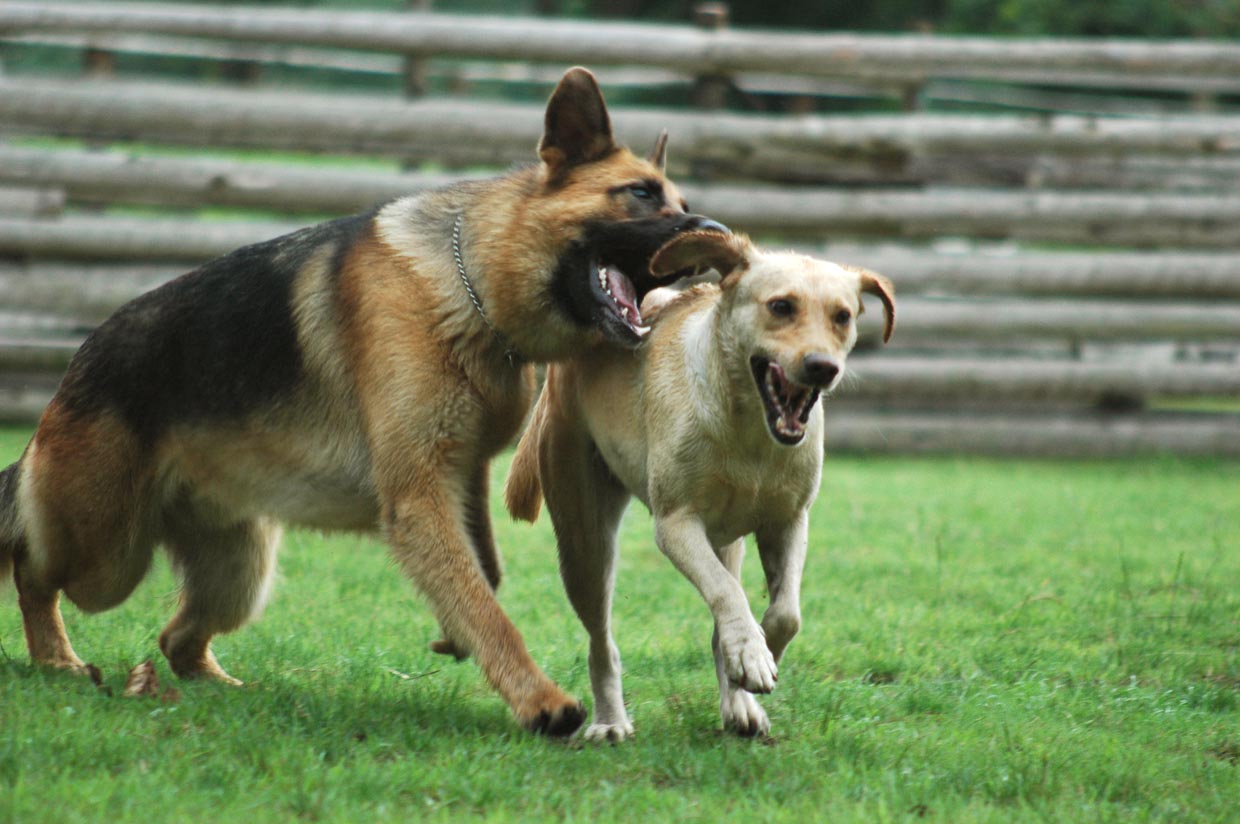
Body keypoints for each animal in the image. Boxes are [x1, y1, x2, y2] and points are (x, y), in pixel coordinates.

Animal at [0, 69, 724, 733]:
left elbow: (480, 576)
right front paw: (540, 702)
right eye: (640, 195)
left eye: (681, 200)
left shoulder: (459, 474)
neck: (470, 289)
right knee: (31, 566)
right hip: (106, 554)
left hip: (237, 570)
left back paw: (226, 687)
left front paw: (457, 632)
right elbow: (487, 607)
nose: (714, 231)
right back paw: (57, 658)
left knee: (176, 637)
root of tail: (79, 361)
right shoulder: (418, 493)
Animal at [503, 231, 892, 738]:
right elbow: (726, 593)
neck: (748, 429)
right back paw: (611, 721)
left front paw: (752, 659)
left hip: (726, 542)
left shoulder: (789, 520)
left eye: (842, 316)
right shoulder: (677, 524)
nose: (823, 367)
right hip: (584, 538)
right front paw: (751, 654)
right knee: (601, 638)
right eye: (781, 306)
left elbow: (785, 613)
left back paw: (739, 703)